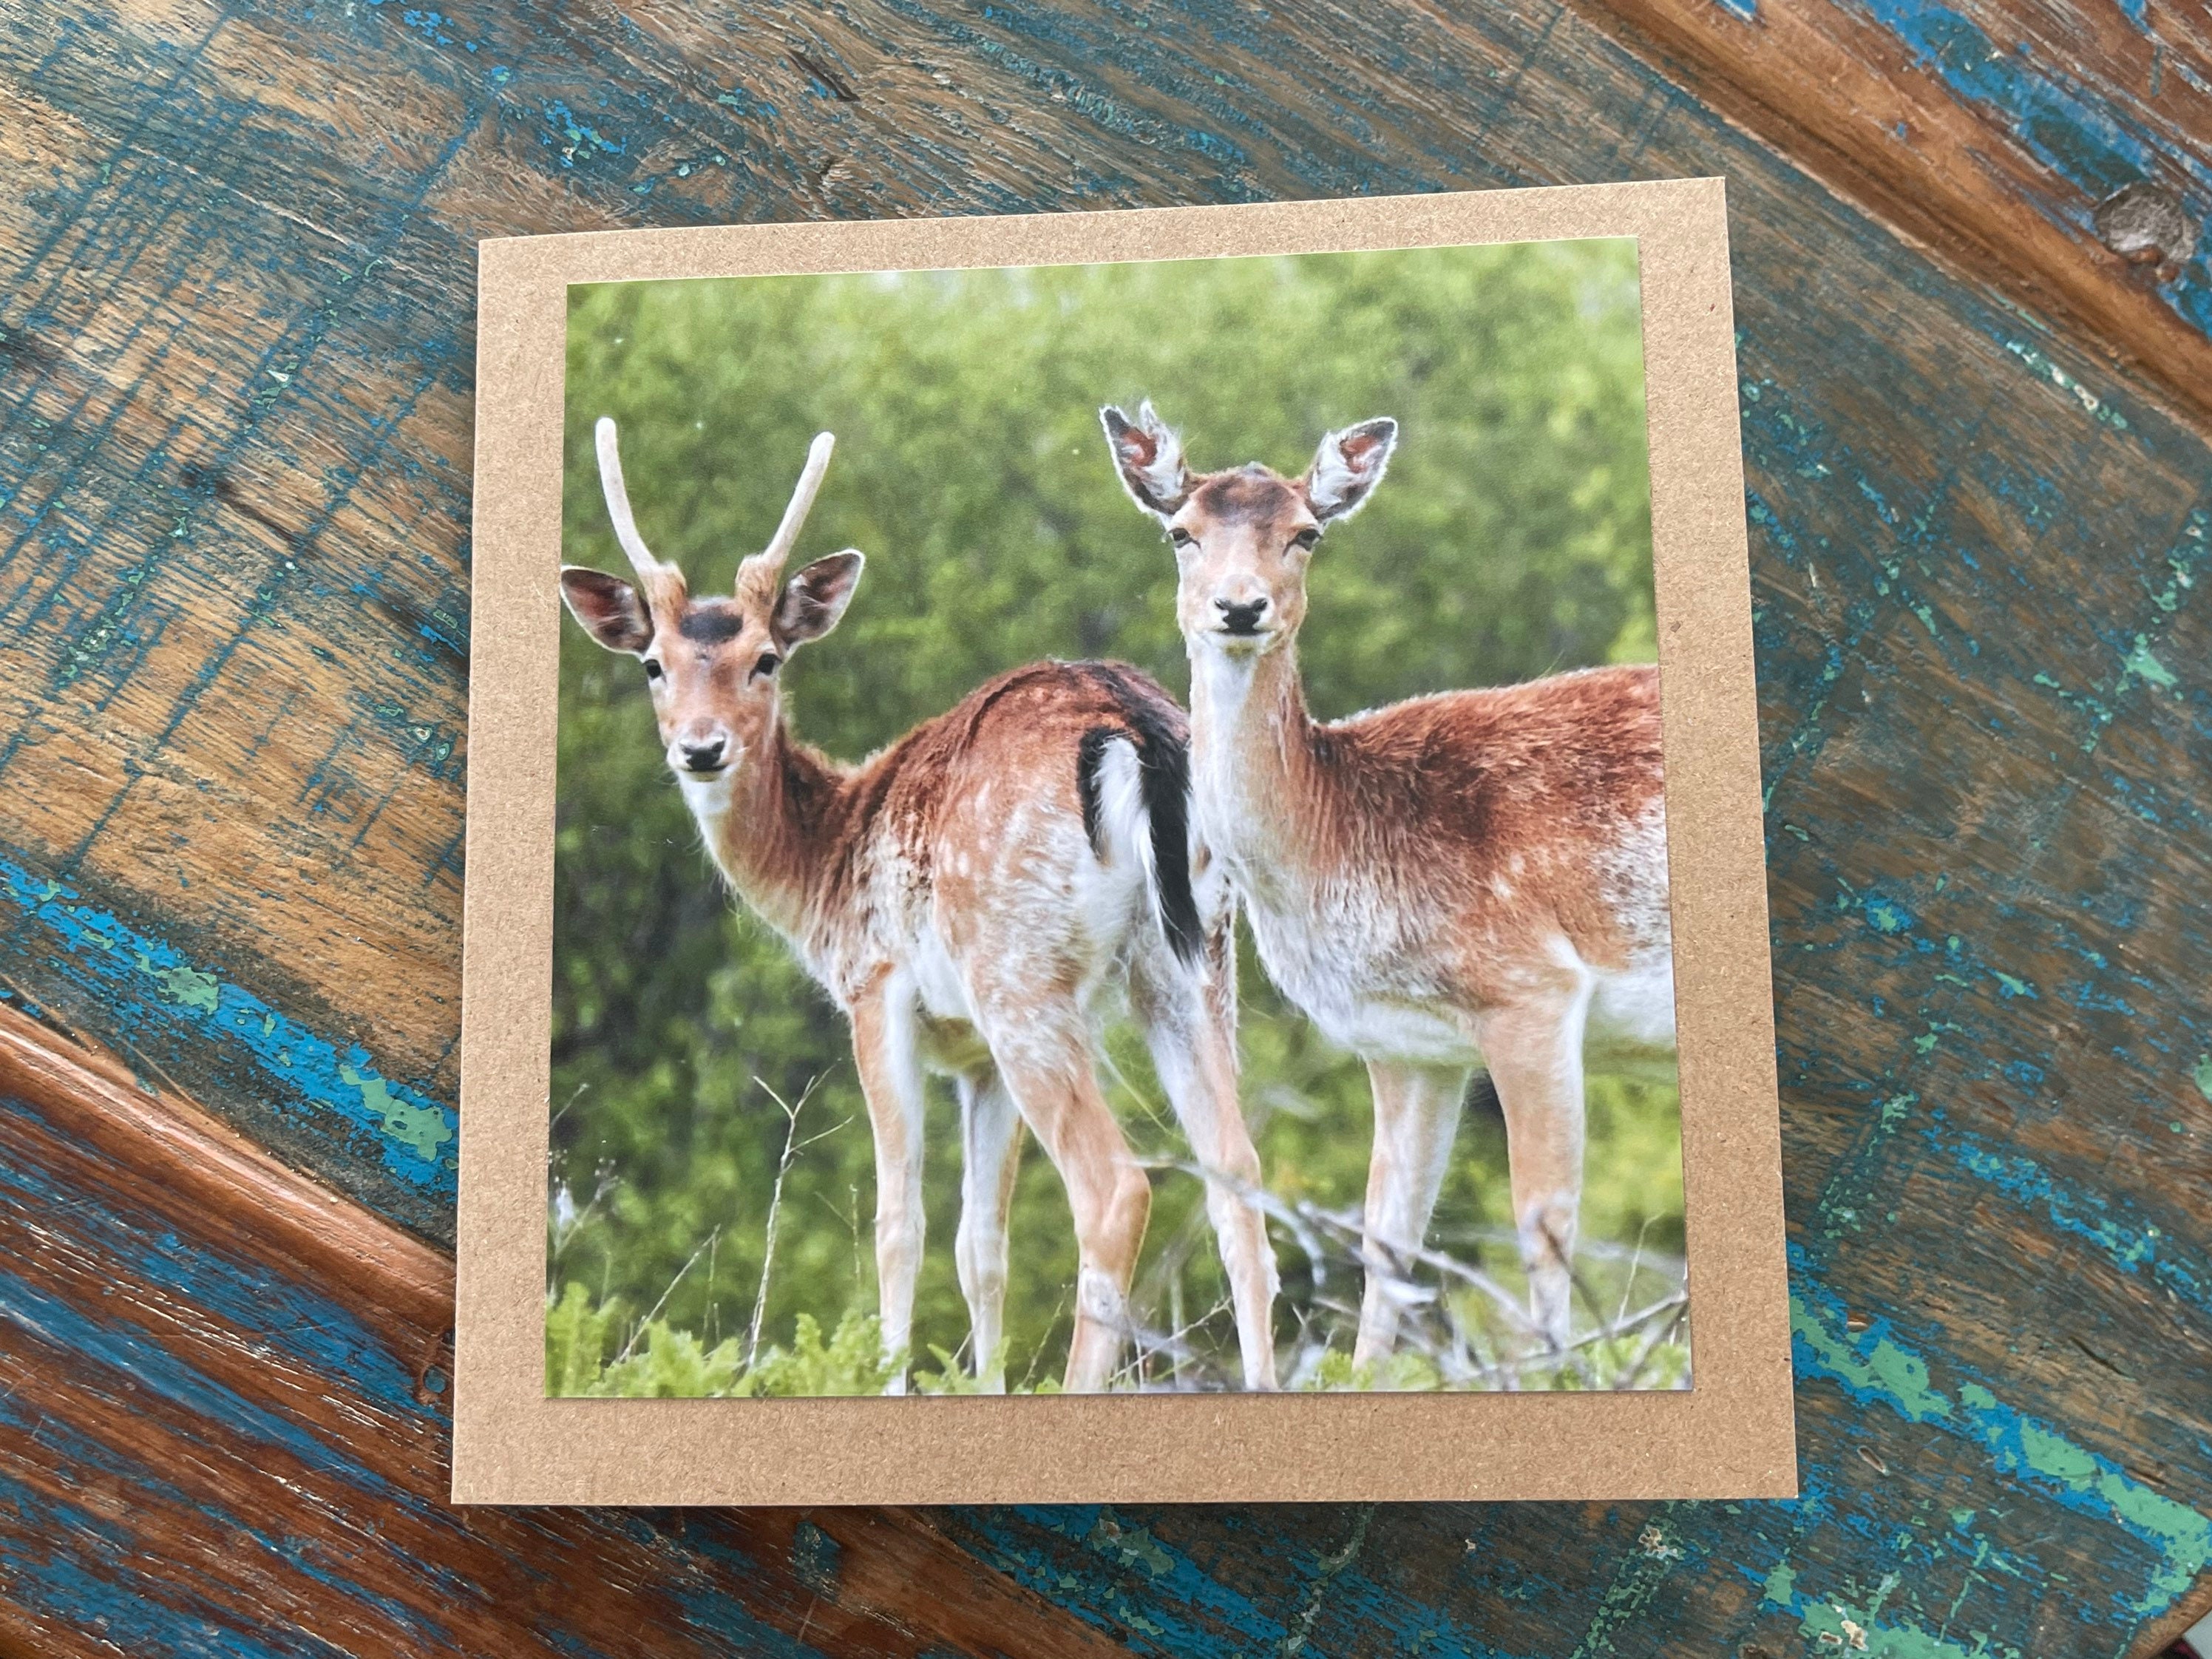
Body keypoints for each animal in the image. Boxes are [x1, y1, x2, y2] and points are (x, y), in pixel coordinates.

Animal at [559, 416, 1279, 1393]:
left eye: (765, 660)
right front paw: (982, 1385)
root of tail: (1130, 727)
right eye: (652, 665)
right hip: (1195, 960)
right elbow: (982, 1246)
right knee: (1237, 1175)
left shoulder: (877, 989)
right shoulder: (975, 1059)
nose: (700, 749)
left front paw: (887, 1378)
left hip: (1023, 977)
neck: (825, 861)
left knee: (1117, 1187)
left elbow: (899, 1224)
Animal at [1100, 400, 1676, 1367]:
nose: (1240, 605)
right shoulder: (1406, 1046)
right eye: (1181, 533)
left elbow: (1542, 1220)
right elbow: (1387, 1241)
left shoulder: (1531, 987)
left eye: (1305, 532)